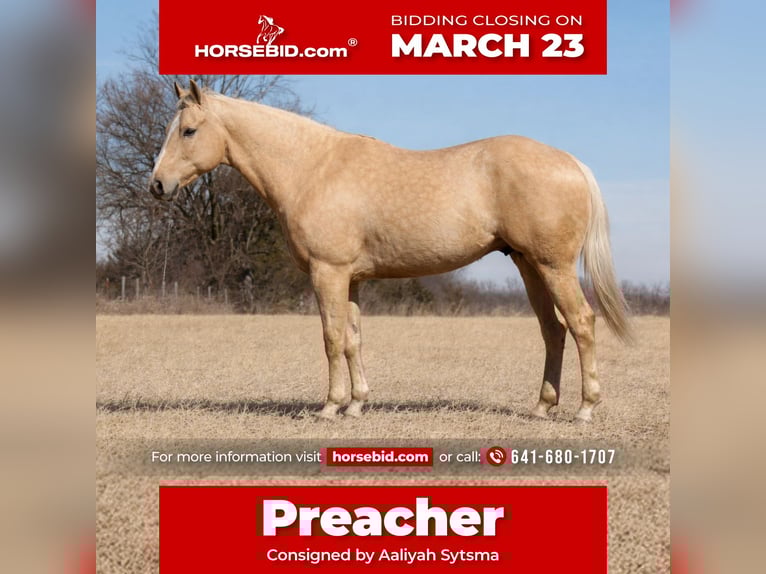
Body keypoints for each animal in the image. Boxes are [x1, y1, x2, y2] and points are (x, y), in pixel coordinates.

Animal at [150, 80, 633, 422]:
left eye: (189, 130)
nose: (157, 185)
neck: (312, 168)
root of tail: (570, 162)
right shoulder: (351, 279)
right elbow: (352, 339)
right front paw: (356, 404)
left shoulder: (328, 272)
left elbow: (330, 338)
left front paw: (330, 407)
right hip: (529, 266)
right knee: (553, 331)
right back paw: (542, 407)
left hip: (554, 266)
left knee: (581, 323)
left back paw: (585, 408)